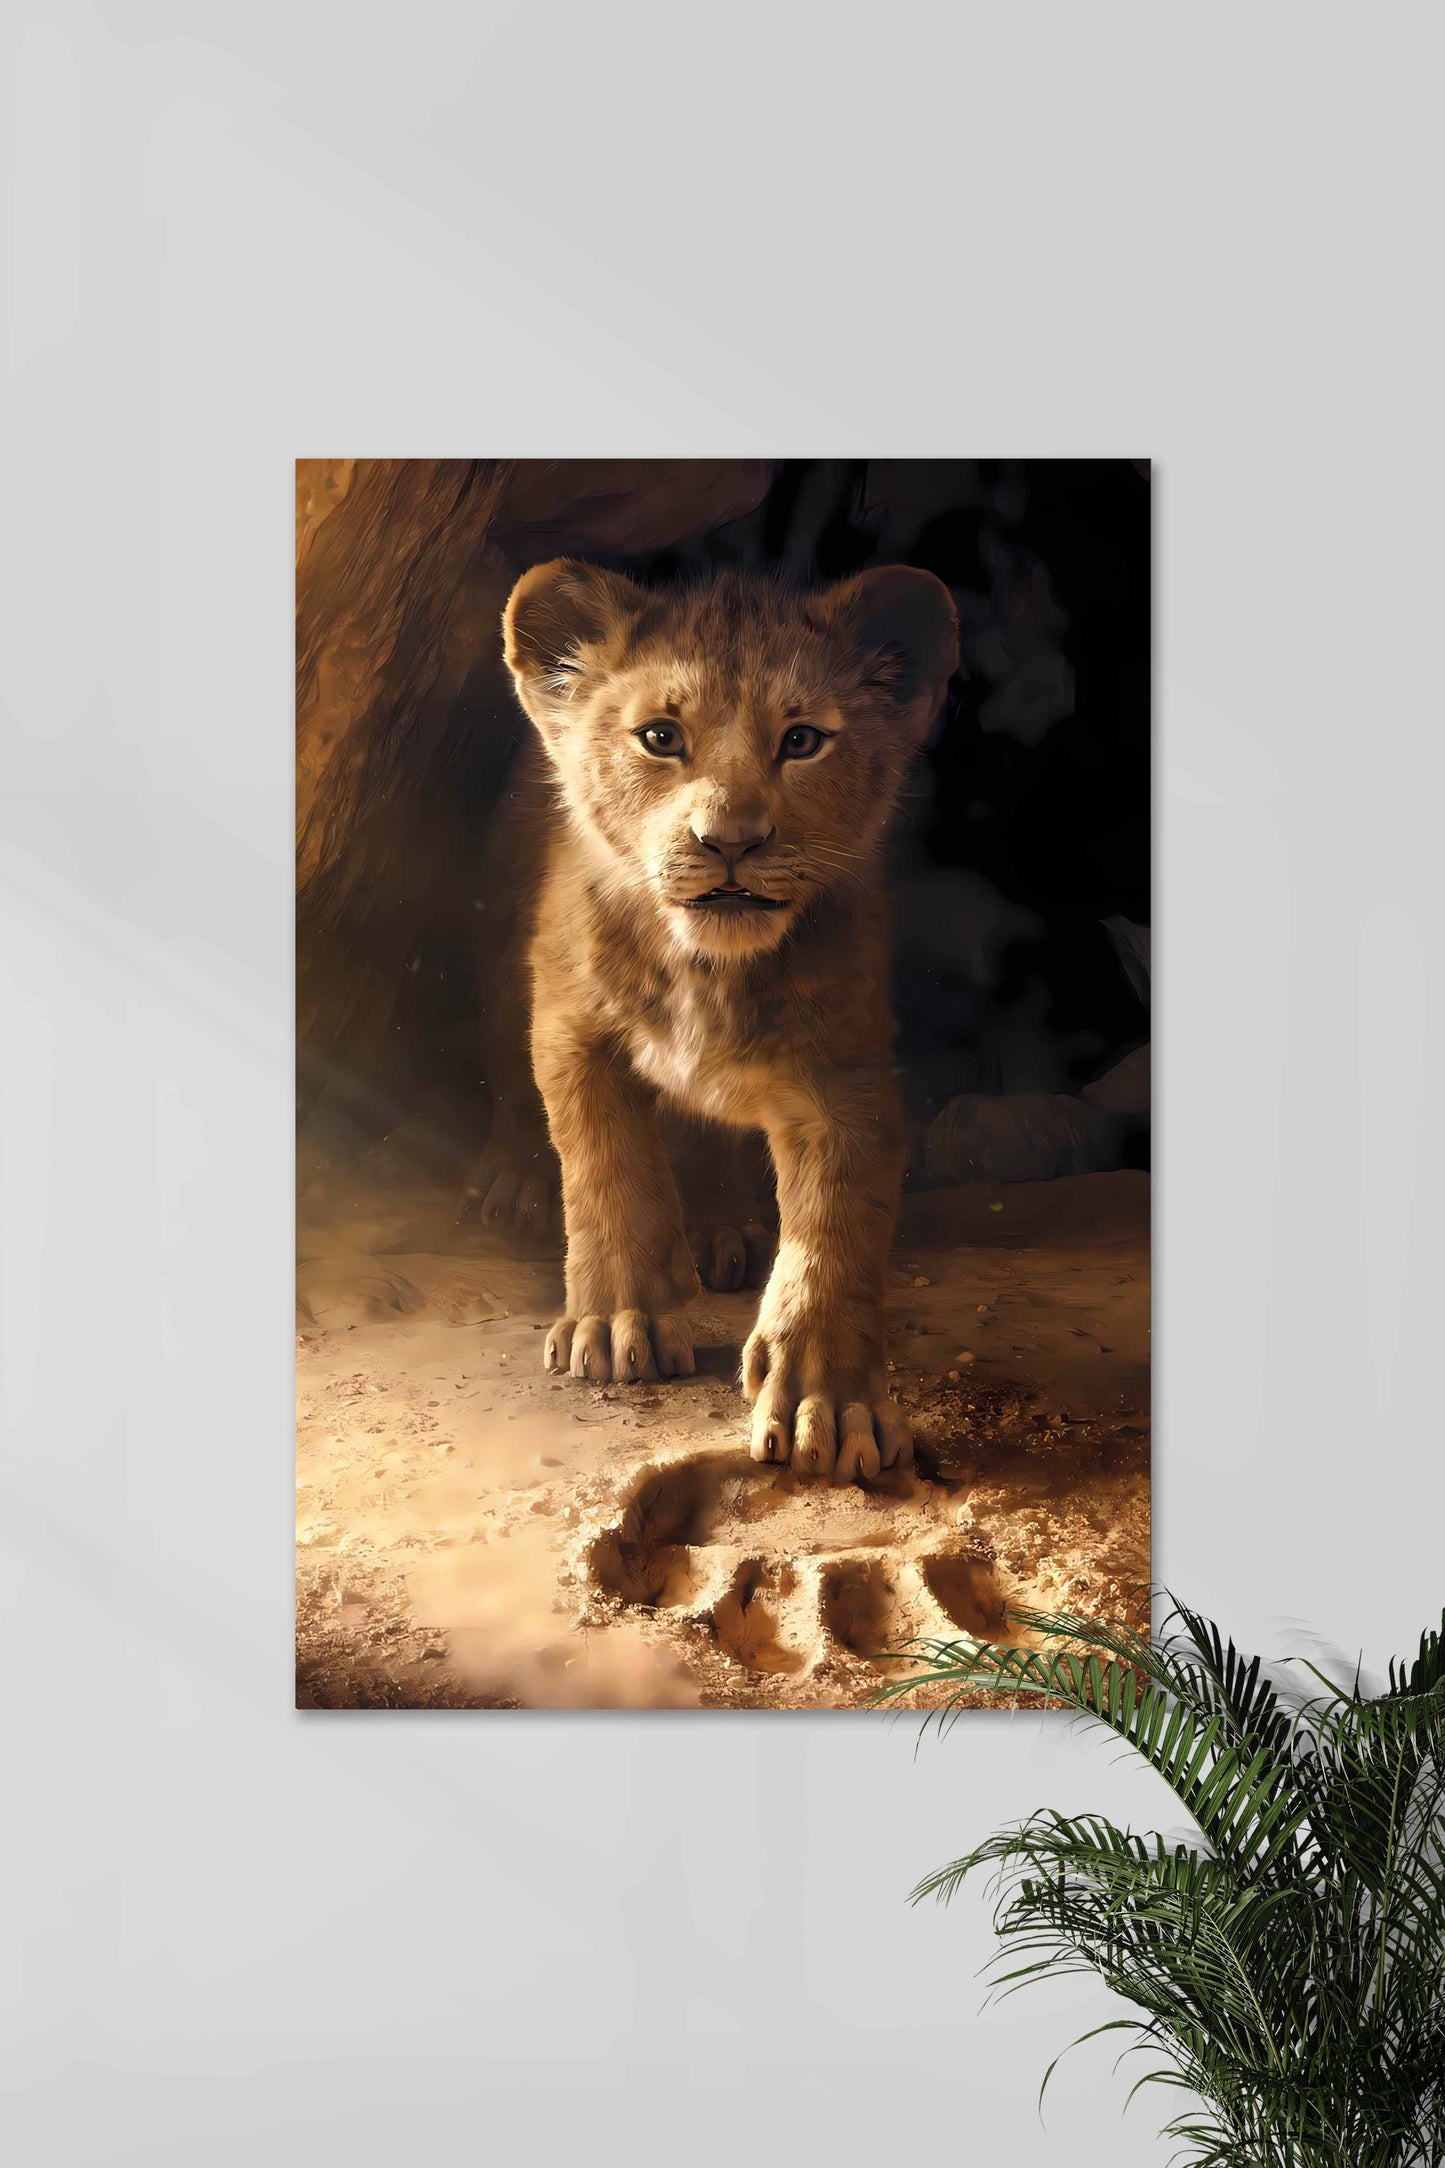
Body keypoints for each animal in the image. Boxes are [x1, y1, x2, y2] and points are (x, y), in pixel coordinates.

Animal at [501, 557, 958, 1483]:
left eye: (802, 741)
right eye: (660, 737)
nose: (731, 841)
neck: (707, 968)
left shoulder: (843, 1077)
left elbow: (835, 1232)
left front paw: (831, 1404)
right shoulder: (570, 1026)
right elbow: (606, 1169)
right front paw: (617, 1323)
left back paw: (723, 1232)